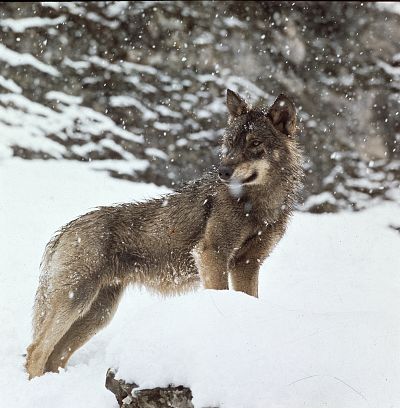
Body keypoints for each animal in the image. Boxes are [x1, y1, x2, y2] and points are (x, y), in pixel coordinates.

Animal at [25, 89, 304, 380]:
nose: (223, 172)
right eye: (229, 143)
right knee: (36, 350)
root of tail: (64, 231)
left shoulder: (247, 264)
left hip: (98, 314)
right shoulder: (212, 254)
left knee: (55, 355)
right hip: (77, 302)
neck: (257, 207)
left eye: (254, 143)